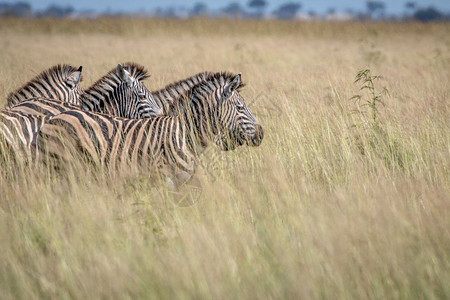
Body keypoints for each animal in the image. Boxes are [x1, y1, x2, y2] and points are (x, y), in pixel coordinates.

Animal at [37, 72, 266, 185]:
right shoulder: (166, 181)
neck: (184, 135)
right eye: (240, 107)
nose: (261, 133)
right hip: (61, 169)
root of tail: (53, 119)